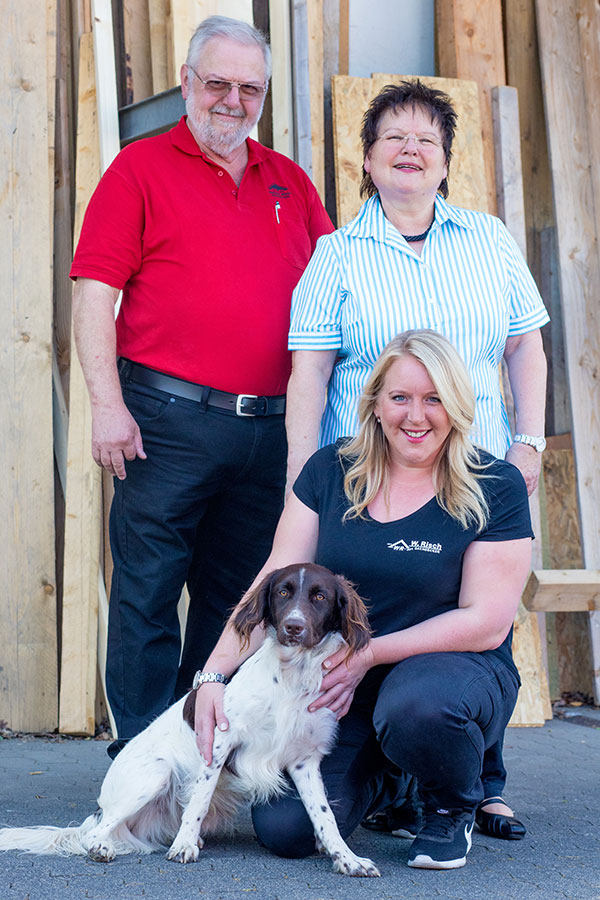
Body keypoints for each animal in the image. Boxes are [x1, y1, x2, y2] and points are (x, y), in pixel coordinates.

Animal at [0, 568, 380, 876]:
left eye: (320, 596)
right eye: (283, 593)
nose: (294, 627)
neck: (291, 677)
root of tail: (98, 810)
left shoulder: (304, 761)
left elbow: (324, 815)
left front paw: (346, 859)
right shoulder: (219, 742)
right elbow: (199, 799)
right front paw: (183, 846)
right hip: (156, 772)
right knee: (94, 834)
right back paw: (103, 847)